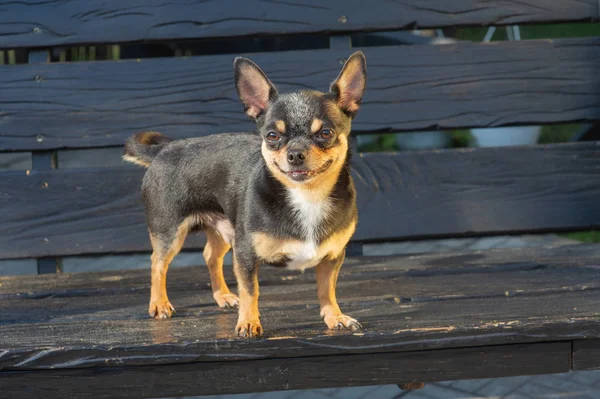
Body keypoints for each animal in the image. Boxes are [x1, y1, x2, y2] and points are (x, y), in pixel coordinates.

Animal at [124, 50, 366, 338]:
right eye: (272, 136)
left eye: (326, 133)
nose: (295, 154)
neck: (307, 196)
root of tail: (163, 150)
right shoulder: (246, 254)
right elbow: (251, 290)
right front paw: (249, 322)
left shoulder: (331, 258)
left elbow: (327, 290)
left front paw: (334, 317)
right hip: (169, 231)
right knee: (157, 263)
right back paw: (159, 303)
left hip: (224, 228)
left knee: (210, 255)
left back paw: (223, 296)